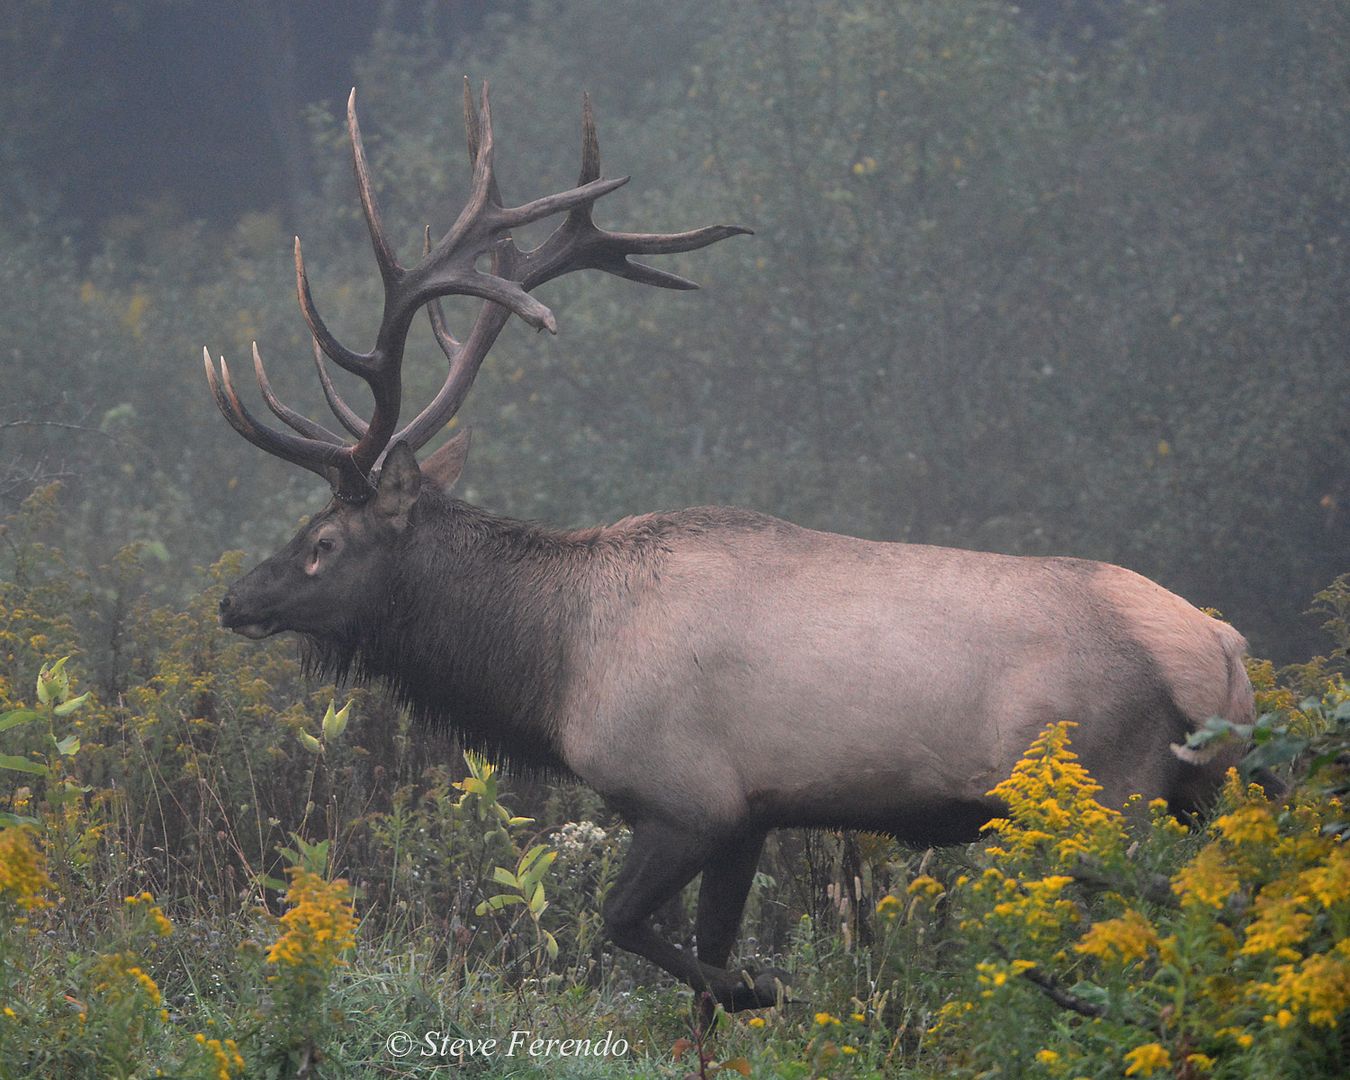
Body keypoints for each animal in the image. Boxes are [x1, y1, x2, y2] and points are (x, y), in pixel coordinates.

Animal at [202, 82, 1252, 1015]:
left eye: (322, 541)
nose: (233, 601)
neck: (554, 665)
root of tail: (1223, 655)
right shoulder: (752, 814)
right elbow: (702, 965)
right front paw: (748, 994)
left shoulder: (686, 798)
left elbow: (629, 929)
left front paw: (766, 987)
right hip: (1196, 795)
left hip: (1106, 795)